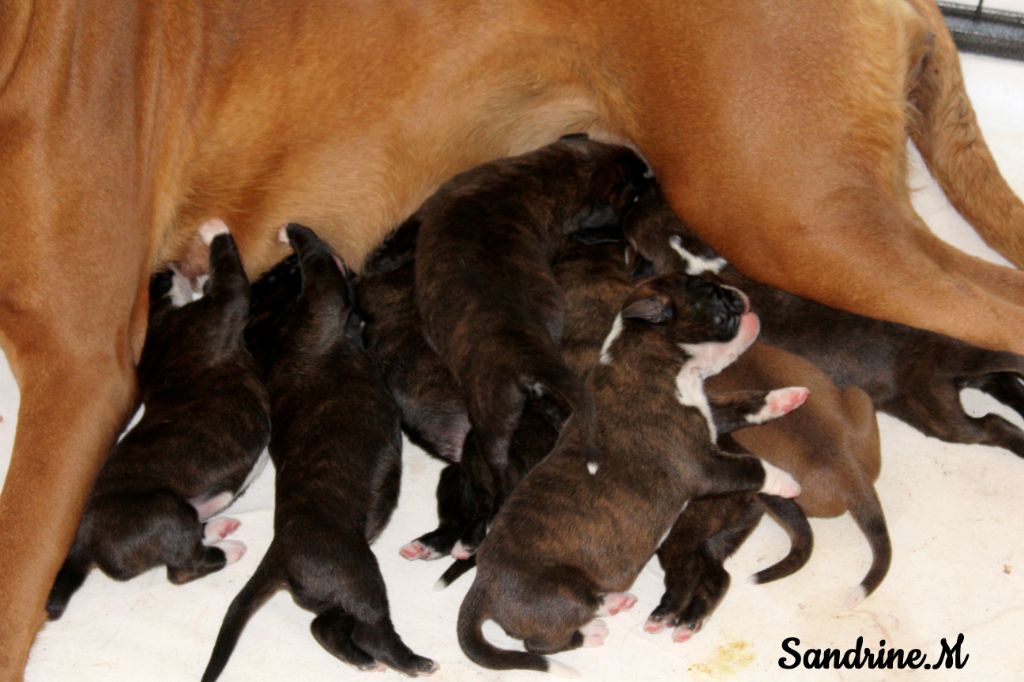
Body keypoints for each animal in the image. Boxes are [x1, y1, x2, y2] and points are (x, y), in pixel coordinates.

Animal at [200, 225, 436, 675]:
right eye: (279, 276)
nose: (279, 261)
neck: (271, 332)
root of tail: (278, 556)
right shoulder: (324, 303)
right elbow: (321, 267)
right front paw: (295, 232)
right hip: (358, 575)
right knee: (372, 628)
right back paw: (412, 660)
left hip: (331, 594)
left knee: (324, 627)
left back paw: (364, 661)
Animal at [413, 137, 647, 524]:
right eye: (631, 193)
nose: (649, 169)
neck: (554, 173)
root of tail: (525, 346)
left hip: (490, 414)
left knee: (499, 466)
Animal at [456, 270, 798, 667]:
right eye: (712, 298)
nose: (740, 295)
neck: (653, 356)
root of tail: (482, 585)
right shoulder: (702, 465)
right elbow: (754, 466)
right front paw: (788, 482)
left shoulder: (711, 419)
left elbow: (743, 404)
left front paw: (787, 397)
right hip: (560, 596)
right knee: (541, 643)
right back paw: (593, 629)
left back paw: (614, 602)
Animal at [626, 183, 1024, 456]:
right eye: (646, 197)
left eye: (633, 208)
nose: (642, 187)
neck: (691, 252)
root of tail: (950, 354)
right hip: (978, 376)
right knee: (1006, 384)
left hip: (938, 413)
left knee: (990, 424)